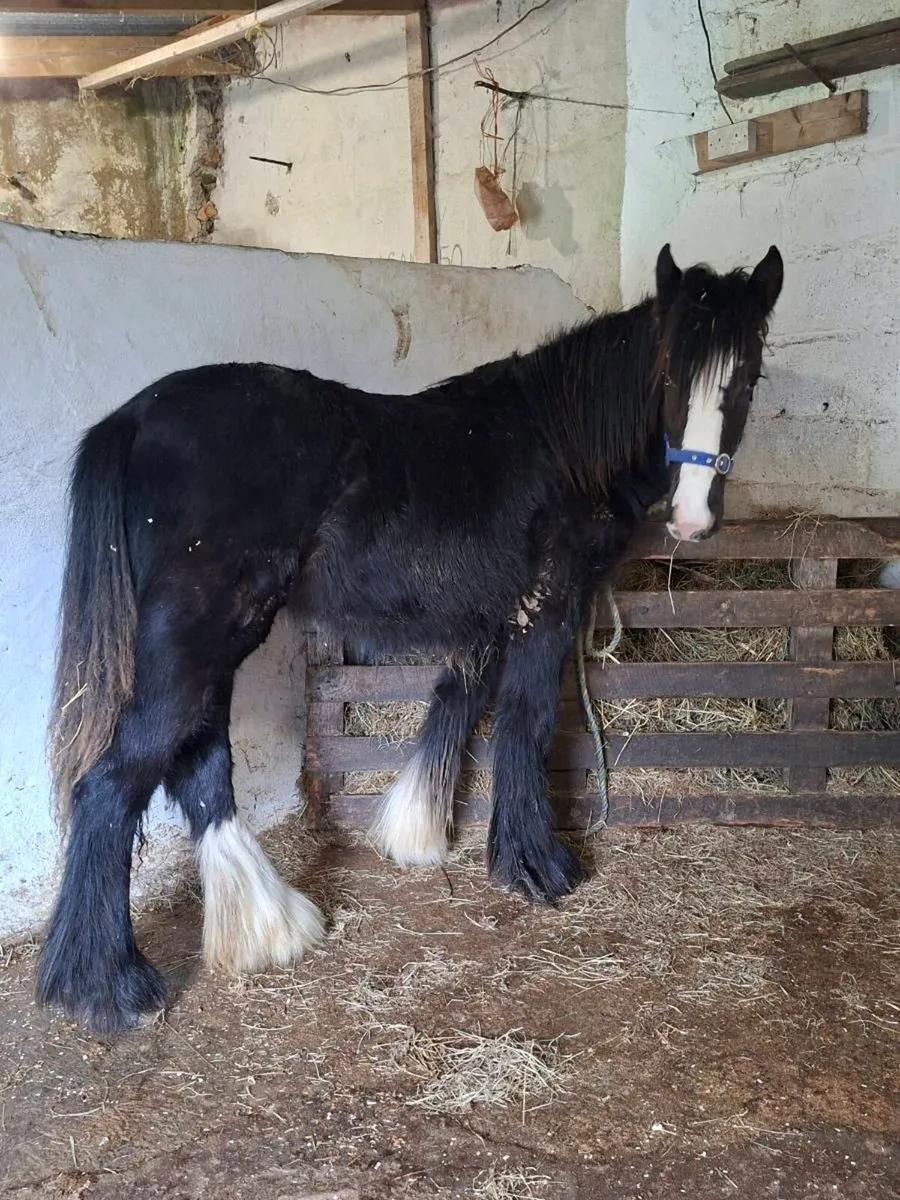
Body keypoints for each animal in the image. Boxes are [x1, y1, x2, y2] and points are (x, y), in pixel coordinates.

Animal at [36, 243, 783, 1033]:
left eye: (749, 377)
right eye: (669, 373)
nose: (693, 519)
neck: (565, 442)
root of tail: (134, 416)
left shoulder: (488, 618)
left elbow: (459, 703)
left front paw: (419, 833)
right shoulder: (548, 607)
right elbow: (526, 722)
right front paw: (537, 867)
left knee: (199, 765)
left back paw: (267, 927)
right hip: (200, 635)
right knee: (113, 782)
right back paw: (106, 985)